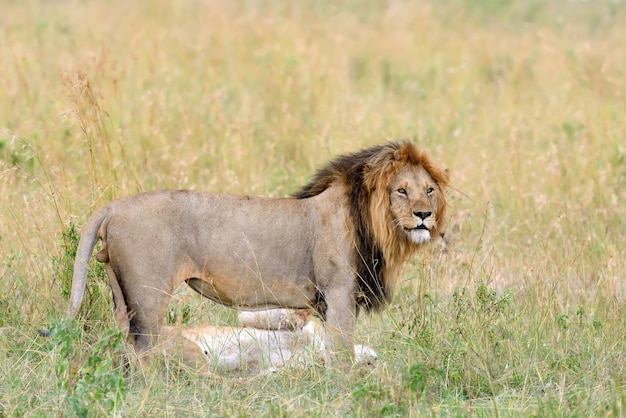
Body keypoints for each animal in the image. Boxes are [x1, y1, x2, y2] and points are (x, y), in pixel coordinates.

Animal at [66, 140, 446, 362]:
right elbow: (342, 355)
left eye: (429, 190)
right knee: (144, 349)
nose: (424, 215)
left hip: (122, 294)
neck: (374, 225)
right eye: (401, 190)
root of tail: (114, 206)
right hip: (148, 295)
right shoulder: (338, 293)